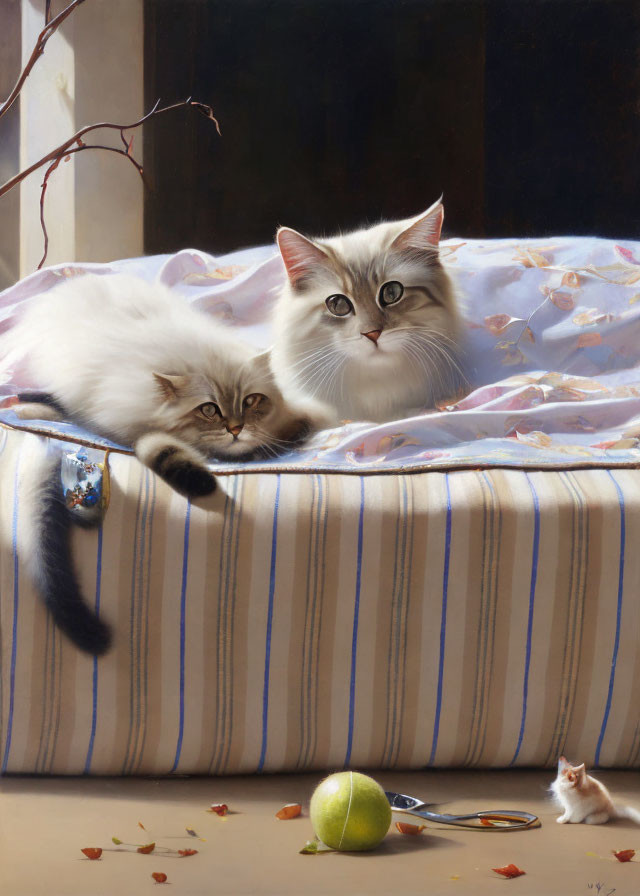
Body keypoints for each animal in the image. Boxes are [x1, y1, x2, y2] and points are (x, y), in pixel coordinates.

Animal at [3, 272, 324, 652]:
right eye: (209, 410)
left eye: (251, 401)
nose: (236, 429)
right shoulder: (134, 432)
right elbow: (162, 451)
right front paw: (204, 482)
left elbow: (296, 424)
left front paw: (280, 439)